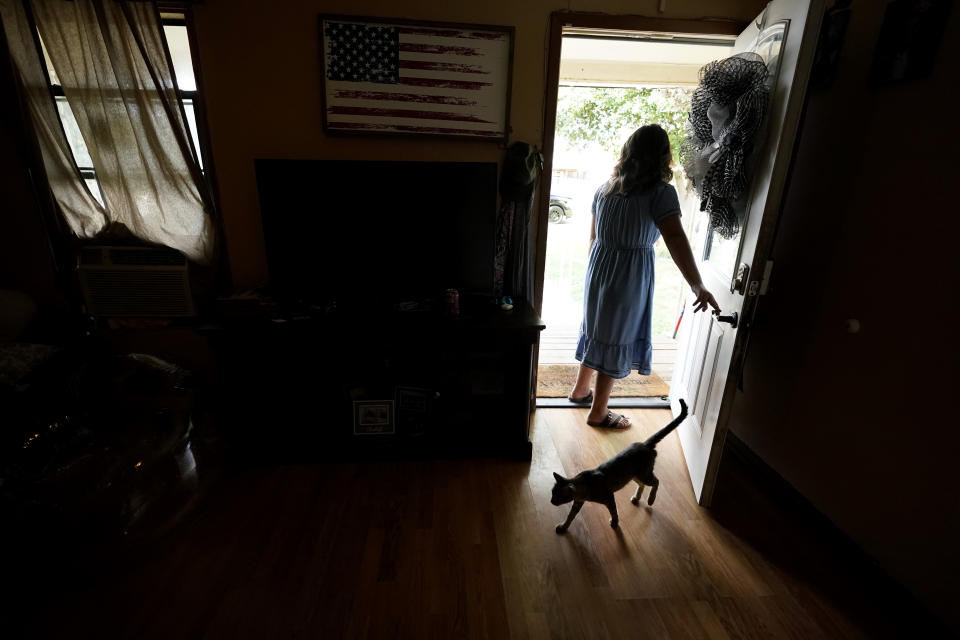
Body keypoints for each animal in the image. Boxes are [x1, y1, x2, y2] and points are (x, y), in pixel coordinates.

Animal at [552, 400, 688, 536]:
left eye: (557, 496)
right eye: (552, 493)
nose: (551, 501)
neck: (585, 485)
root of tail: (644, 444)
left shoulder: (609, 497)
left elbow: (614, 512)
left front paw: (615, 523)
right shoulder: (577, 502)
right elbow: (570, 516)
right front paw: (563, 527)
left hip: (644, 474)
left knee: (656, 481)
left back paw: (650, 500)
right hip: (633, 475)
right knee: (642, 485)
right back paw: (636, 498)